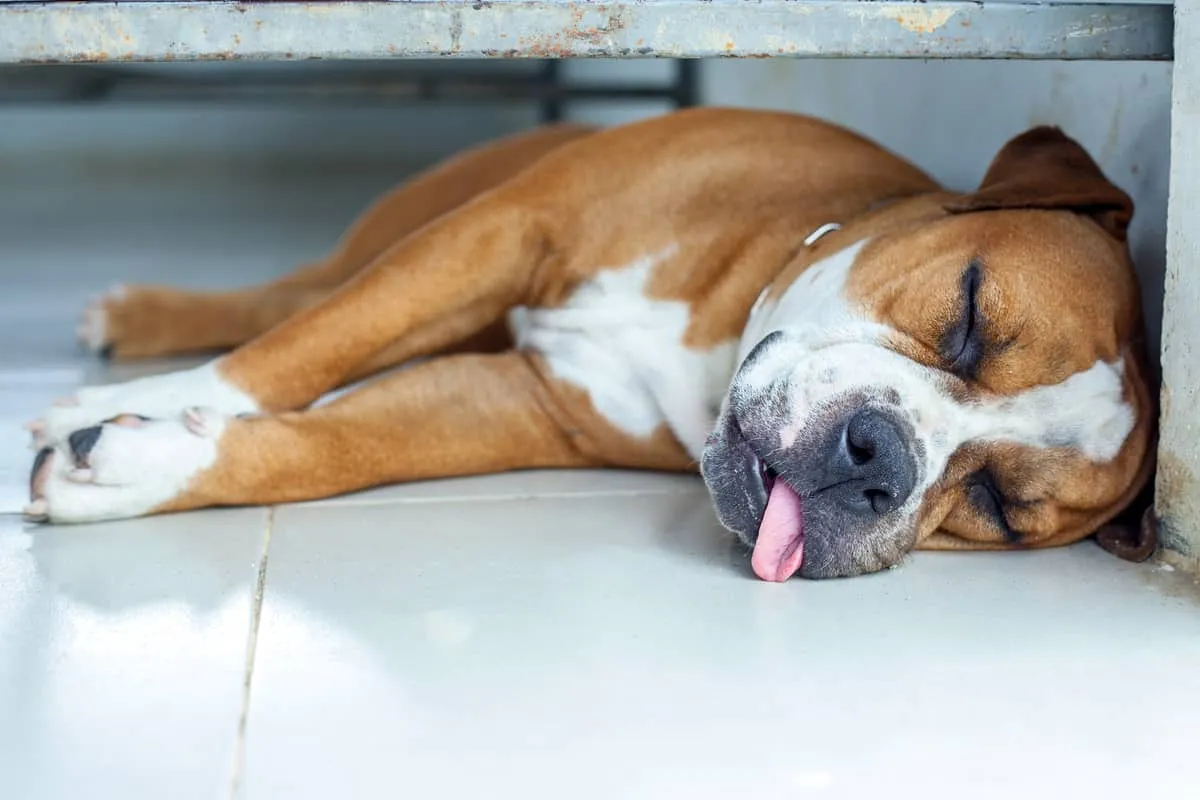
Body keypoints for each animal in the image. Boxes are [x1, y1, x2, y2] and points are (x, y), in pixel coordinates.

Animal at [23, 109, 1156, 578]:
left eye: (997, 505)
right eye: (967, 316)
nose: (875, 458)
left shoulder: (511, 404)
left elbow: (332, 445)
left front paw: (140, 463)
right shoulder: (499, 233)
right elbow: (300, 353)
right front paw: (122, 406)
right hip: (421, 223)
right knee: (295, 298)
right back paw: (142, 323)